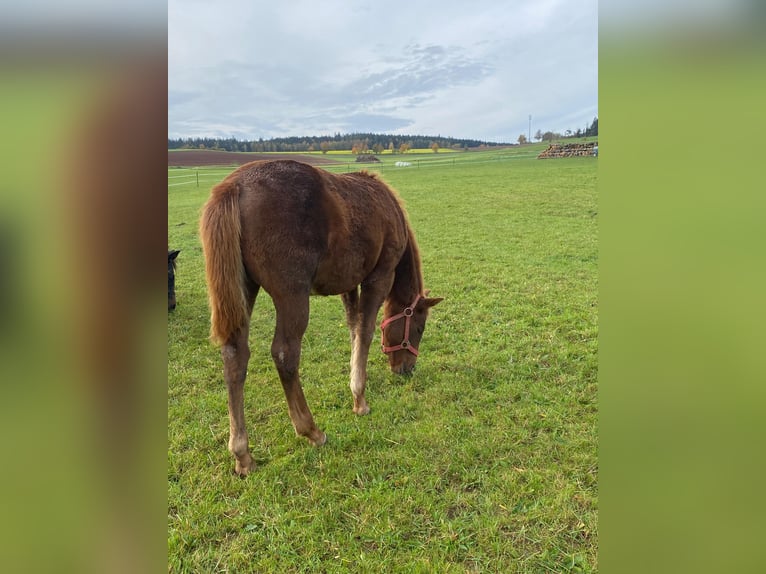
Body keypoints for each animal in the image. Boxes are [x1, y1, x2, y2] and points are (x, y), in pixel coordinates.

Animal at [200, 160, 444, 474]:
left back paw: (243, 455)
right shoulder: (379, 276)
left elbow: (354, 328)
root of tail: (236, 185)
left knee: (235, 356)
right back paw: (311, 431)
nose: (407, 369)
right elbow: (365, 331)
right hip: (292, 294)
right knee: (285, 354)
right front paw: (360, 399)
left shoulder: (349, 282)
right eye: (419, 328)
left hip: (244, 290)